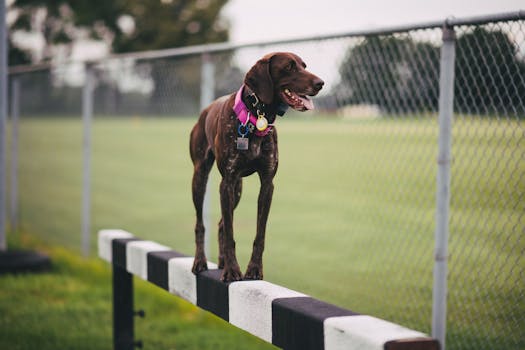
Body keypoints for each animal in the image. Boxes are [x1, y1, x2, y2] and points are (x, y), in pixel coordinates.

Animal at [188, 52, 320, 282]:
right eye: (289, 67)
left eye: (304, 66)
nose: (321, 83)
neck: (256, 114)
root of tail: (204, 111)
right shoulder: (227, 182)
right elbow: (231, 233)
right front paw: (233, 270)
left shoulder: (267, 184)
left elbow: (259, 233)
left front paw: (254, 269)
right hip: (201, 178)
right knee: (201, 224)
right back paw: (200, 261)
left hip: (237, 189)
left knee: (221, 224)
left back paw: (221, 262)